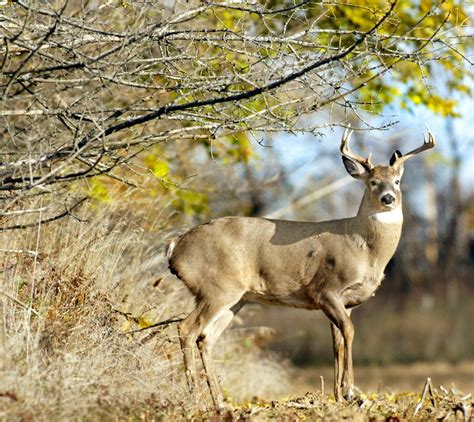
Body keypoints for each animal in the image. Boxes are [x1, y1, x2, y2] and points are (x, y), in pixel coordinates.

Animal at [165, 127, 436, 408]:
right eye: (372, 182)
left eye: (397, 181)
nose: (388, 198)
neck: (365, 249)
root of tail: (176, 247)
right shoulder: (325, 289)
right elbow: (349, 331)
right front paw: (350, 390)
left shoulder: (347, 301)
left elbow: (337, 341)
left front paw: (338, 395)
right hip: (216, 288)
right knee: (186, 328)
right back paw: (195, 397)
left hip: (236, 298)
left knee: (206, 337)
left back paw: (219, 401)